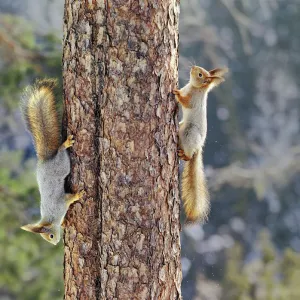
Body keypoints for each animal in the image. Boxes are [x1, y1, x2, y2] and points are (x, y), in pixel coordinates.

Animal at [20, 78, 84, 245]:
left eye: (50, 236)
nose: (55, 243)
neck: (51, 218)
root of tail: (47, 160)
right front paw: (64, 223)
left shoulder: (60, 203)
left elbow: (69, 198)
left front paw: (77, 195)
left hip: (62, 165)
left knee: (61, 151)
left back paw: (65, 144)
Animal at [172, 65, 229, 220]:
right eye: (201, 71)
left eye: (200, 75)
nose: (193, 67)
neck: (194, 87)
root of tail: (198, 147)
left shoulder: (193, 101)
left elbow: (185, 102)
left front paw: (176, 93)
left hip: (190, 133)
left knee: (189, 156)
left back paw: (185, 154)